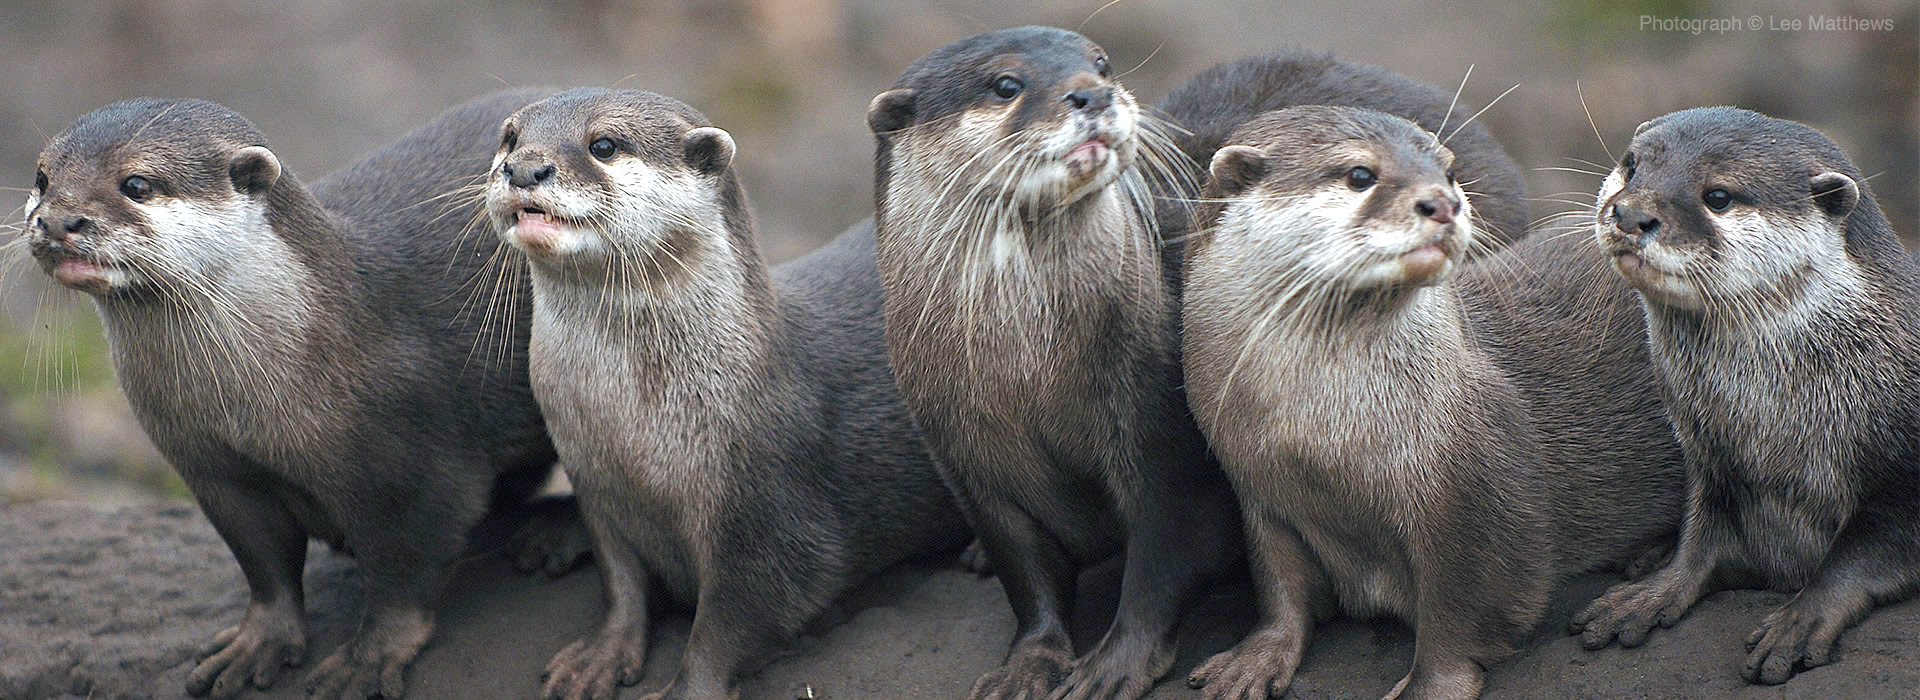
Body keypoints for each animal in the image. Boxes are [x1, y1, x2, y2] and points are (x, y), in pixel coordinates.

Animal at [21, 91, 568, 699]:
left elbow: (404, 573)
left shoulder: (417, 465)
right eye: (43, 178)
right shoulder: (214, 472)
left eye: (136, 183)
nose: (58, 220)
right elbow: (263, 563)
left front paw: (368, 659)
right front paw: (259, 641)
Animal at [483, 88, 969, 700]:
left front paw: (683, 690)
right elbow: (621, 581)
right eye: (510, 138)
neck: (633, 433)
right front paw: (597, 658)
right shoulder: (597, 486)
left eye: (605, 144)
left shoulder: (768, 511)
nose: (524, 168)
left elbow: (732, 622)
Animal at [865, 26, 1244, 700]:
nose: (1092, 92)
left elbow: (1163, 560)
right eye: (1005, 85)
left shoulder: (1160, 437)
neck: (1029, 372)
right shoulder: (973, 467)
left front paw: (1113, 665)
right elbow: (1026, 572)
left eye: (1102, 63)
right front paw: (1027, 665)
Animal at [1179, 106, 1683, 700]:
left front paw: (1426, 687)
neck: (1318, 443)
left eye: (1447, 170)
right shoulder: (1258, 491)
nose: (1444, 202)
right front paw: (1252, 660)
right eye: (1359, 174)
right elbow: (1280, 585)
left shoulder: (1473, 498)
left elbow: (1459, 613)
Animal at [1570, 107, 1920, 686]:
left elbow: (1863, 551)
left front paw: (1802, 618)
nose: (1631, 214)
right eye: (1632, 165)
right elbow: (1701, 538)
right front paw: (1651, 593)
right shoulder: (1713, 460)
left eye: (1718, 196)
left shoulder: (1904, 474)